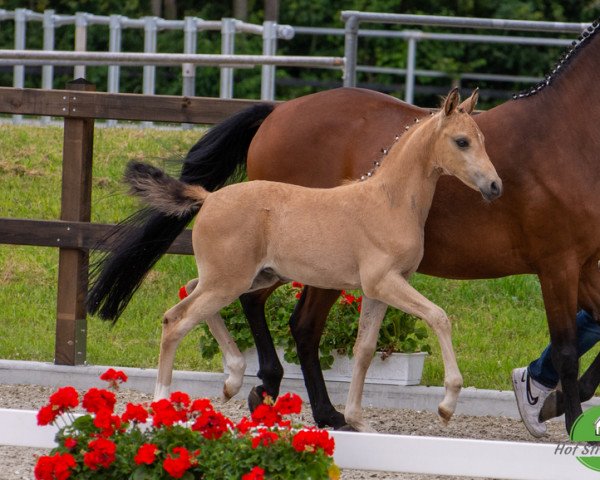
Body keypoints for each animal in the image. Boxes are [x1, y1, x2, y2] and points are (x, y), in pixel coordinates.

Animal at [119, 90, 500, 432]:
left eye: (483, 139)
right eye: (462, 141)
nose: (495, 186)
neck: (389, 202)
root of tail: (209, 197)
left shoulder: (378, 290)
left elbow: (364, 349)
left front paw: (357, 420)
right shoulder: (385, 282)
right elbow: (439, 317)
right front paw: (447, 405)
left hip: (245, 277)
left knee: (192, 291)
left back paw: (233, 379)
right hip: (228, 281)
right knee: (176, 320)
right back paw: (163, 402)